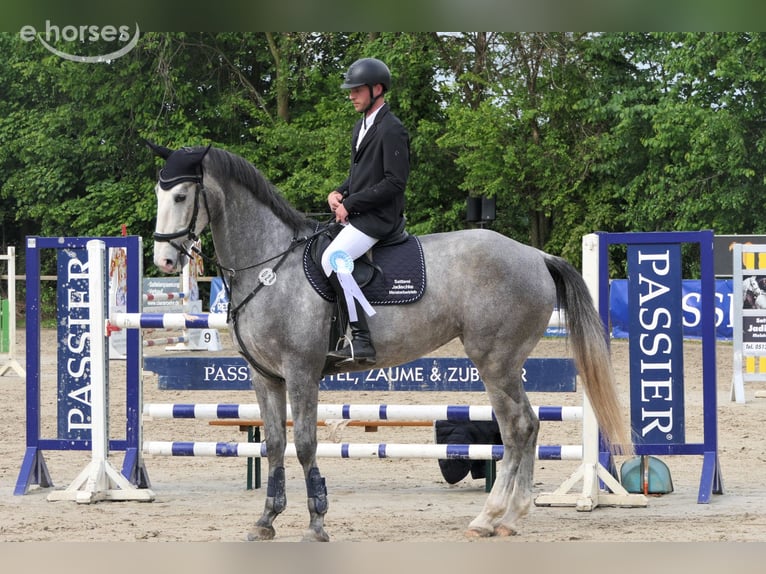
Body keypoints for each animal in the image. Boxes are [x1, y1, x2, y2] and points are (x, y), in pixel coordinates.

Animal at [148, 142, 630, 542]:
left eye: (180, 197)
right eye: (159, 194)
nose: (165, 261)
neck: (269, 267)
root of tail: (535, 255)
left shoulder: (302, 372)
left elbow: (304, 443)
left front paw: (317, 522)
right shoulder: (265, 377)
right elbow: (274, 445)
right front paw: (266, 520)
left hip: (497, 361)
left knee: (519, 428)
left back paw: (491, 517)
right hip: (502, 363)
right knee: (524, 428)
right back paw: (509, 519)